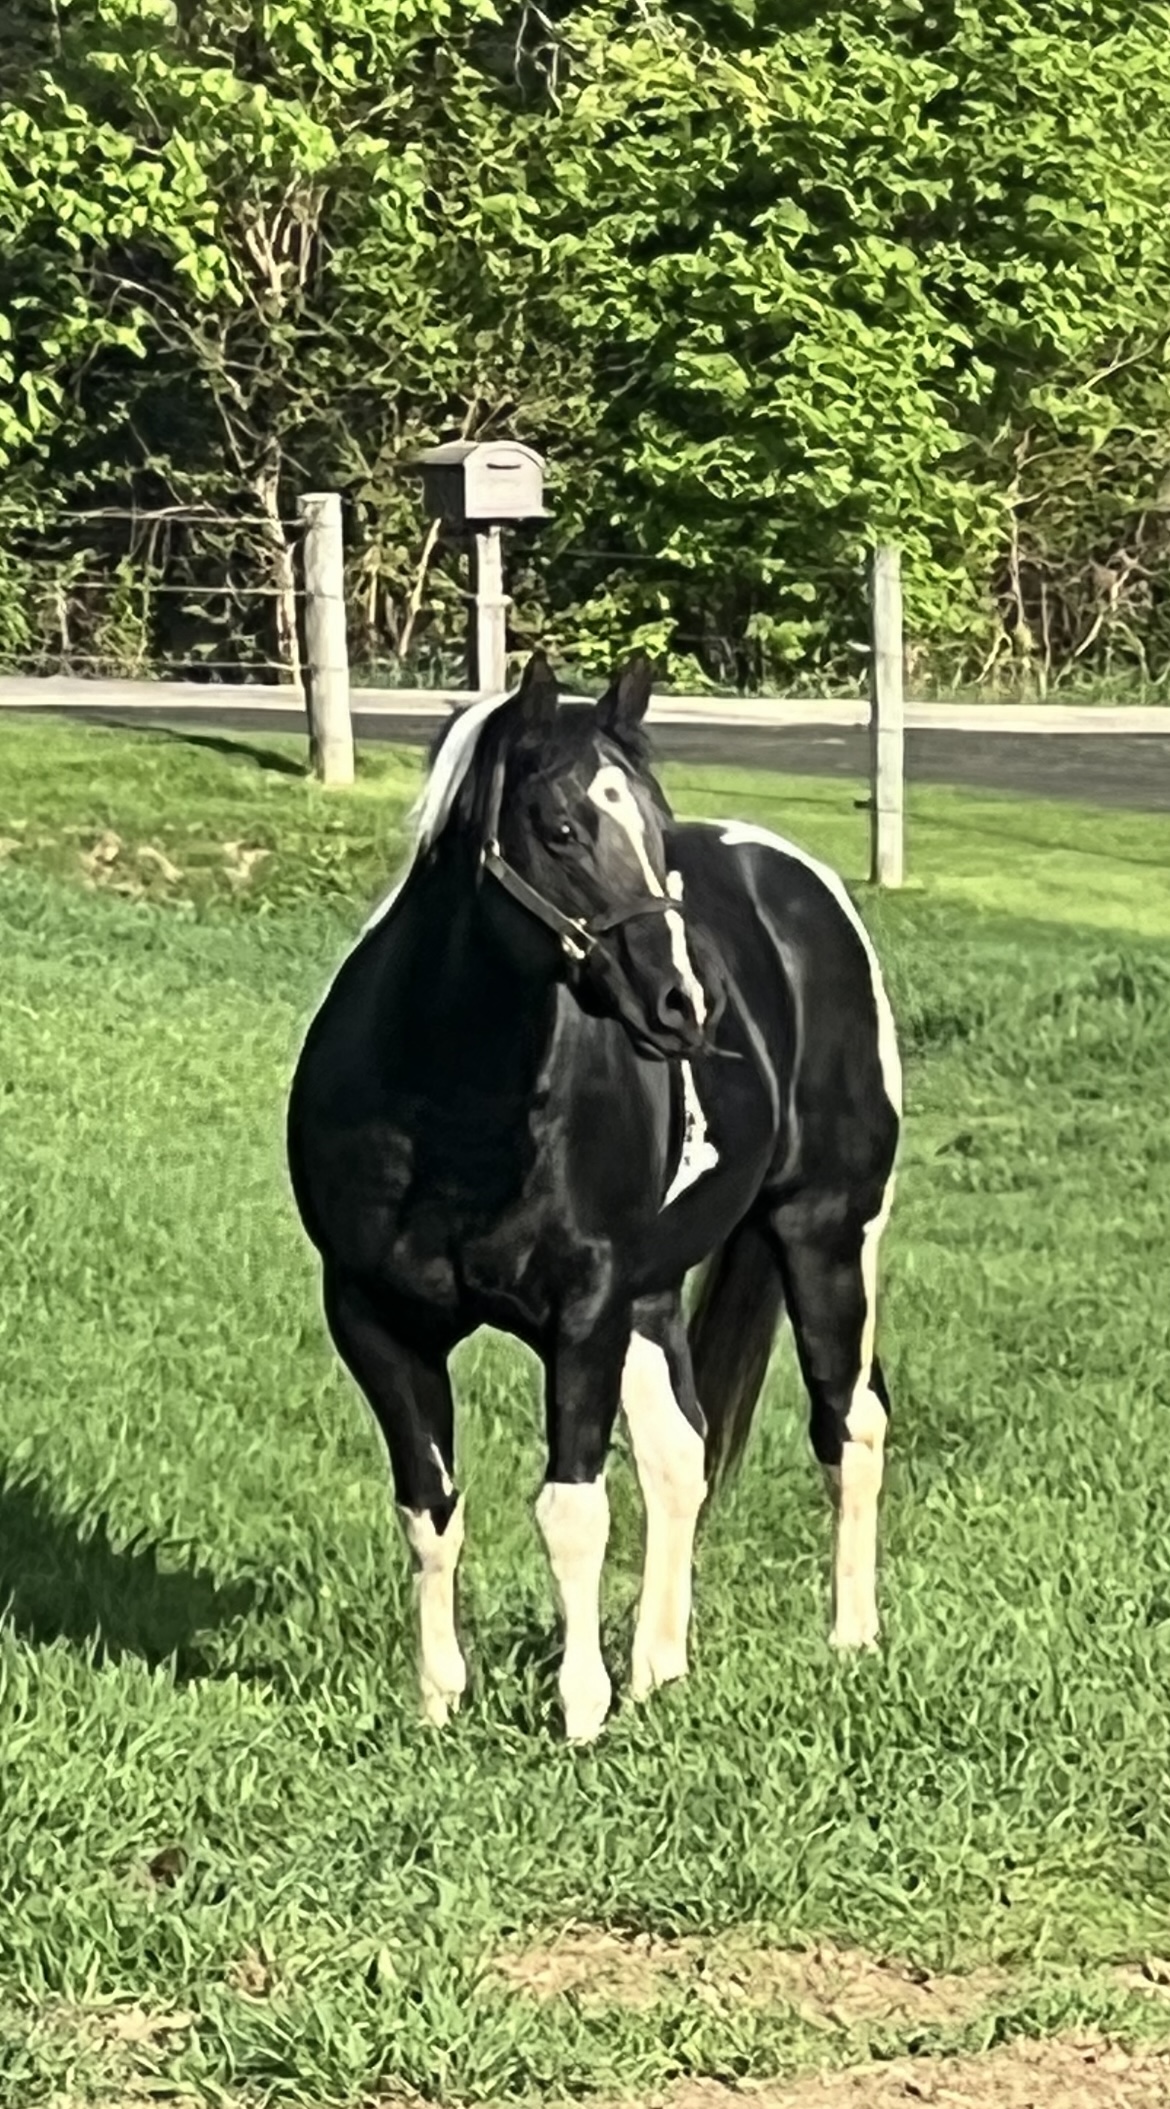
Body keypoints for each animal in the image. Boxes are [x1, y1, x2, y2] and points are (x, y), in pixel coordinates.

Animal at [286, 649, 901, 1742]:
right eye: (562, 829)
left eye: (656, 830)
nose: (685, 1004)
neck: (447, 1107)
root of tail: (804, 883)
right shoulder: (374, 1318)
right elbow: (429, 1508)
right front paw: (440, 1702)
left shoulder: (584, 1311)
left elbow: (572, 1508)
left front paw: (580, 1712)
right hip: (656, 1295)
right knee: (681, 1457)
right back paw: (659, 1666)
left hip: (828, 1235)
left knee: (850, 1426)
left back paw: (850, 1638)